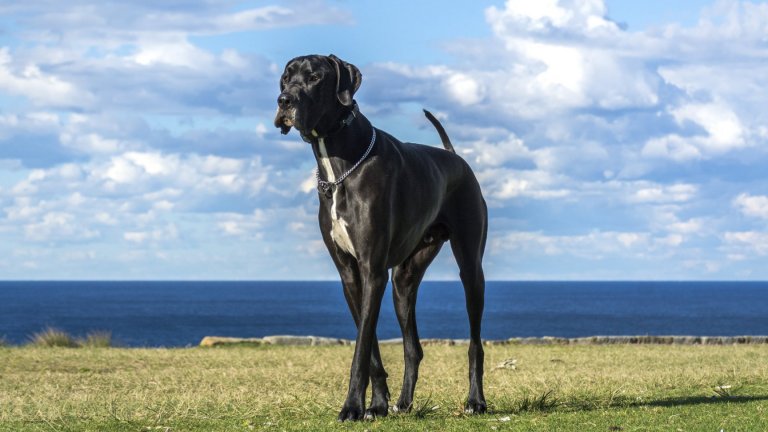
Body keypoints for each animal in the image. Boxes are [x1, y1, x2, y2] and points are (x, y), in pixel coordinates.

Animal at [274, 52, 486, 420]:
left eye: (314, 78)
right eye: (285, 78)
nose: (284, 101)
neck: (339, 164)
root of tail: (454, 156)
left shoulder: (372, 270)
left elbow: (360, 349)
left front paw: (352, 407)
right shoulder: (351, 274)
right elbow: (369, 345)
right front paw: (376, 405)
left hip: (471, 269)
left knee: (475, 343)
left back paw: (476, 401)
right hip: (404, 280)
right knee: (413, 347)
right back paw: (404, 403)